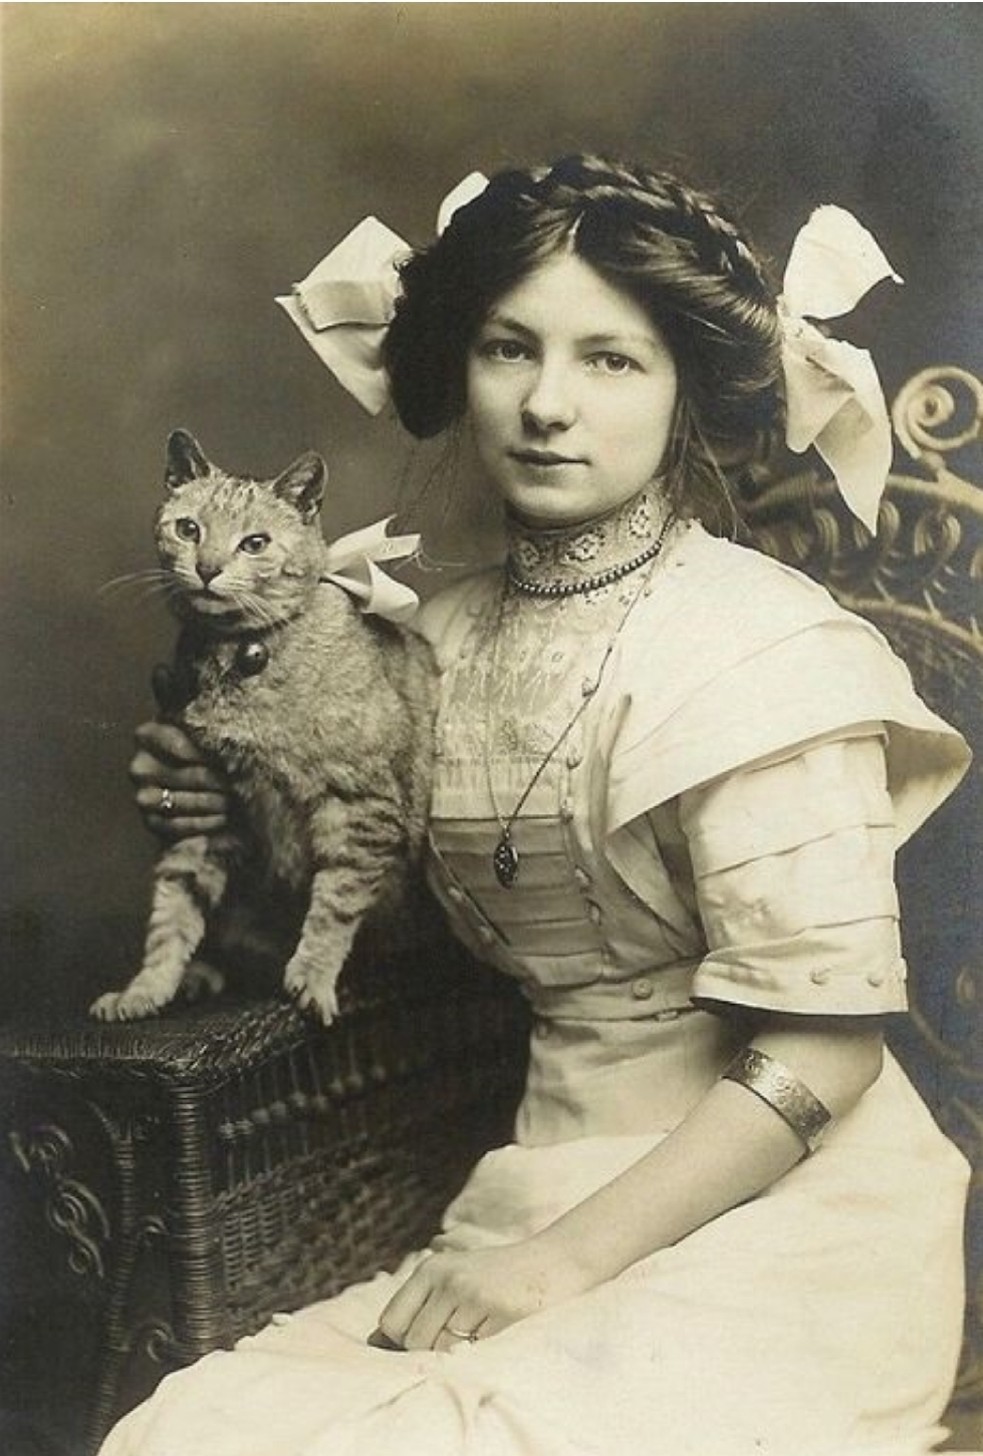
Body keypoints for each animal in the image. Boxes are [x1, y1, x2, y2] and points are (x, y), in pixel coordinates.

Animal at [91, 428, 439, 1025]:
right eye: (189, 529)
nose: (207, 568)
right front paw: (146, 989)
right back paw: (200, 977)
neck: (243, 654)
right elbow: (172, 914)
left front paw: (313, 977)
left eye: (255, 543)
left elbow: (335, 903)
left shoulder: (360, 807)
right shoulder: (209, 811)